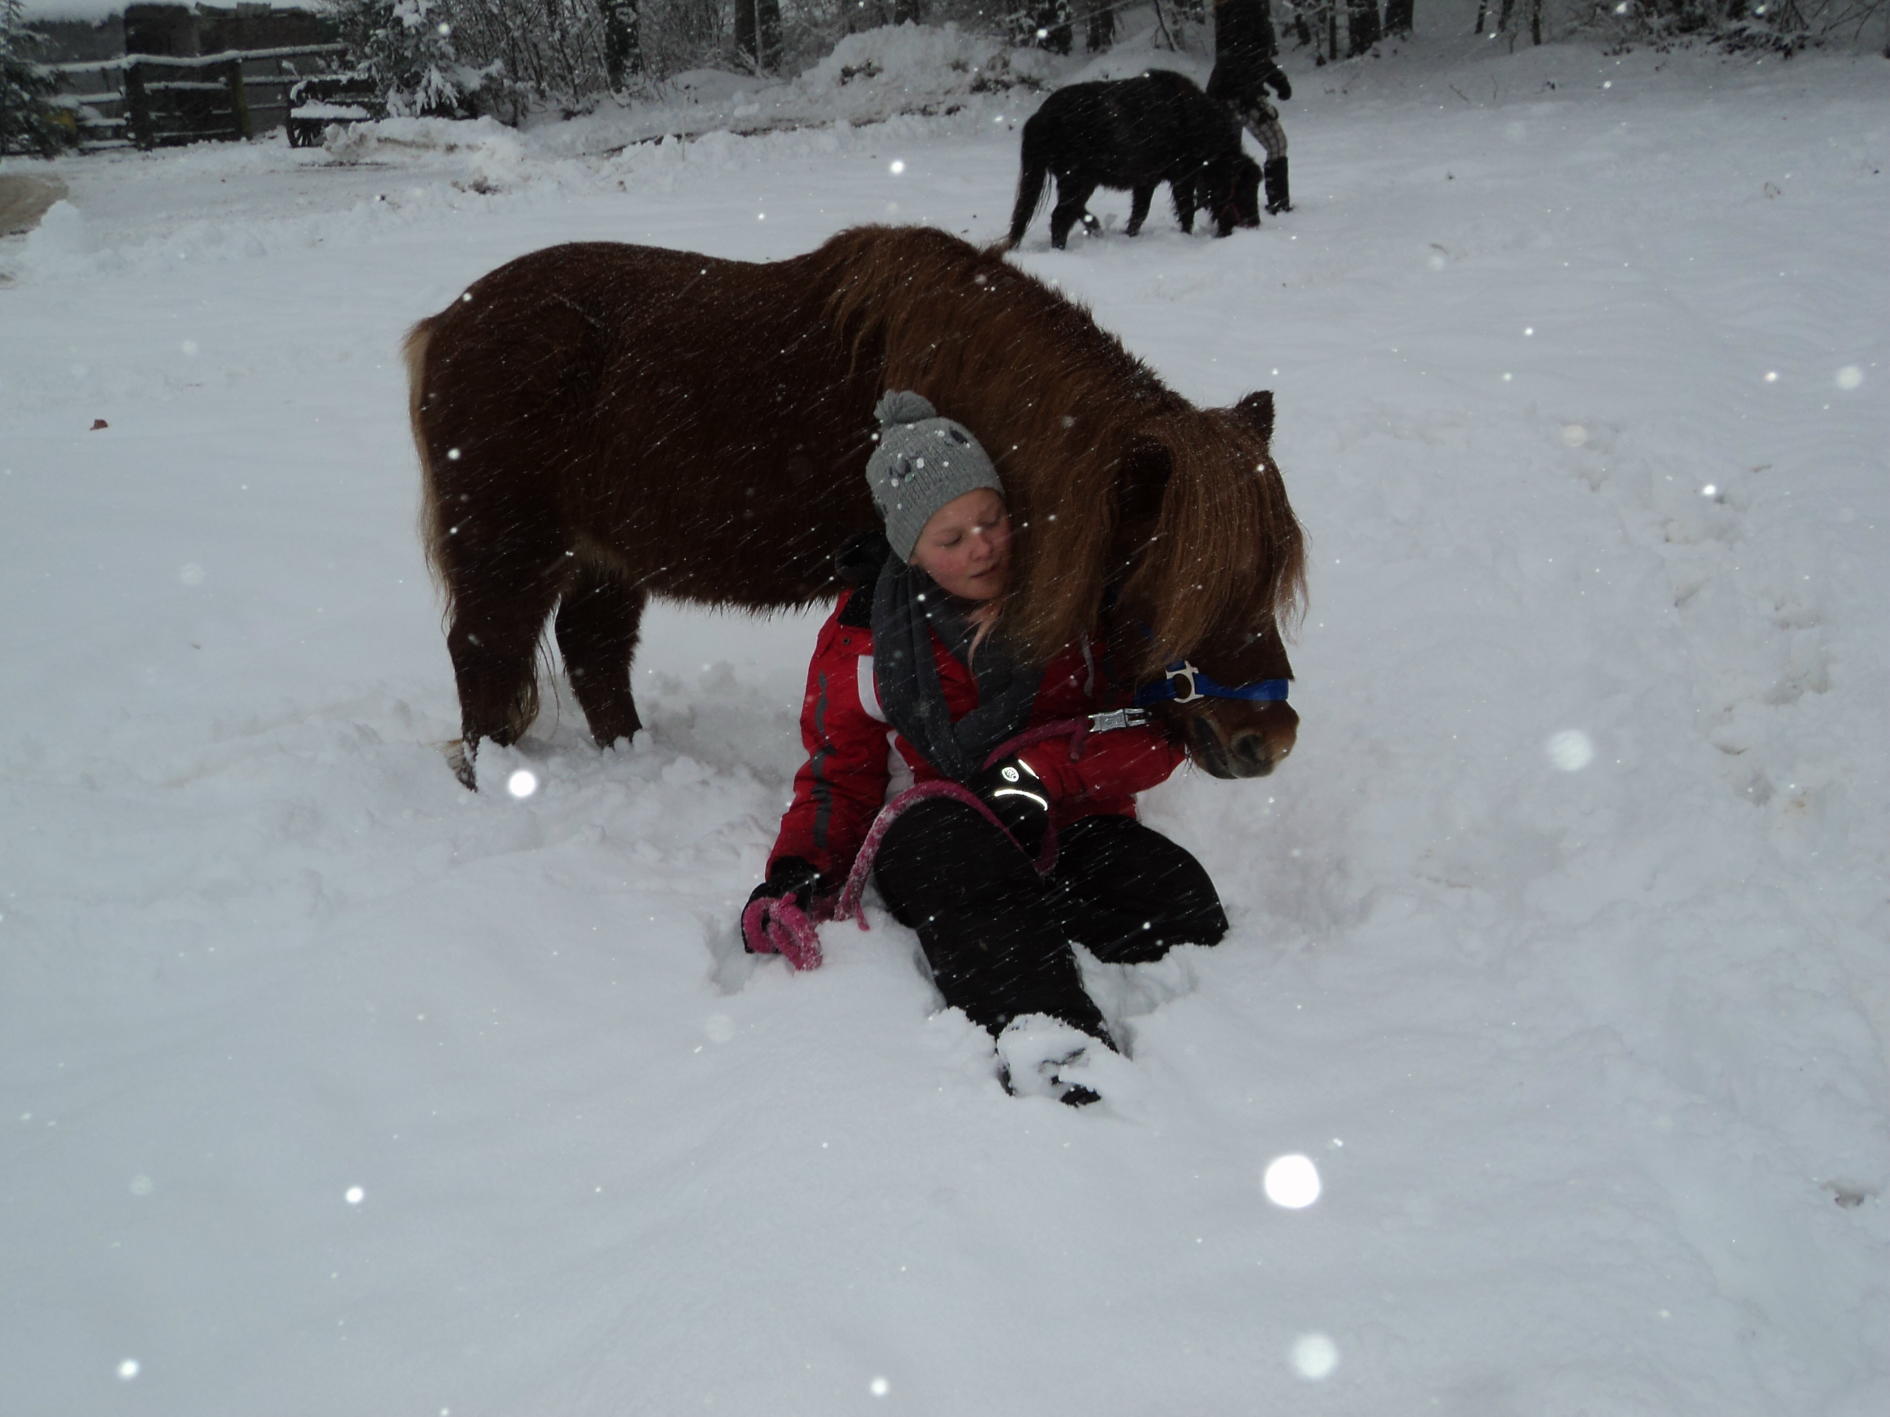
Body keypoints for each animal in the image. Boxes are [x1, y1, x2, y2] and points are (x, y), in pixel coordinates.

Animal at [406, 227, 1307, 793]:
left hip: (607, 559)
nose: (1267, 741)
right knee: (485, 657)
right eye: (1180, 582)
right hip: (508, 554)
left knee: (592, 652)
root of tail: (445, 324)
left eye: (1268, 577)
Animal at [997, 69, 1262, 251]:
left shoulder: (1146, 182)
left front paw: (1129, 235)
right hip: (1076, 180)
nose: (1254, 224)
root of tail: (1040, 117)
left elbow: (1139, 215)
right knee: (1060, 217)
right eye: (1243, 188)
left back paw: (1095, 228)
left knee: (1071, 212)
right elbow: (1185, 212)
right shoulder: (1182, 177)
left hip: (1077, 181)